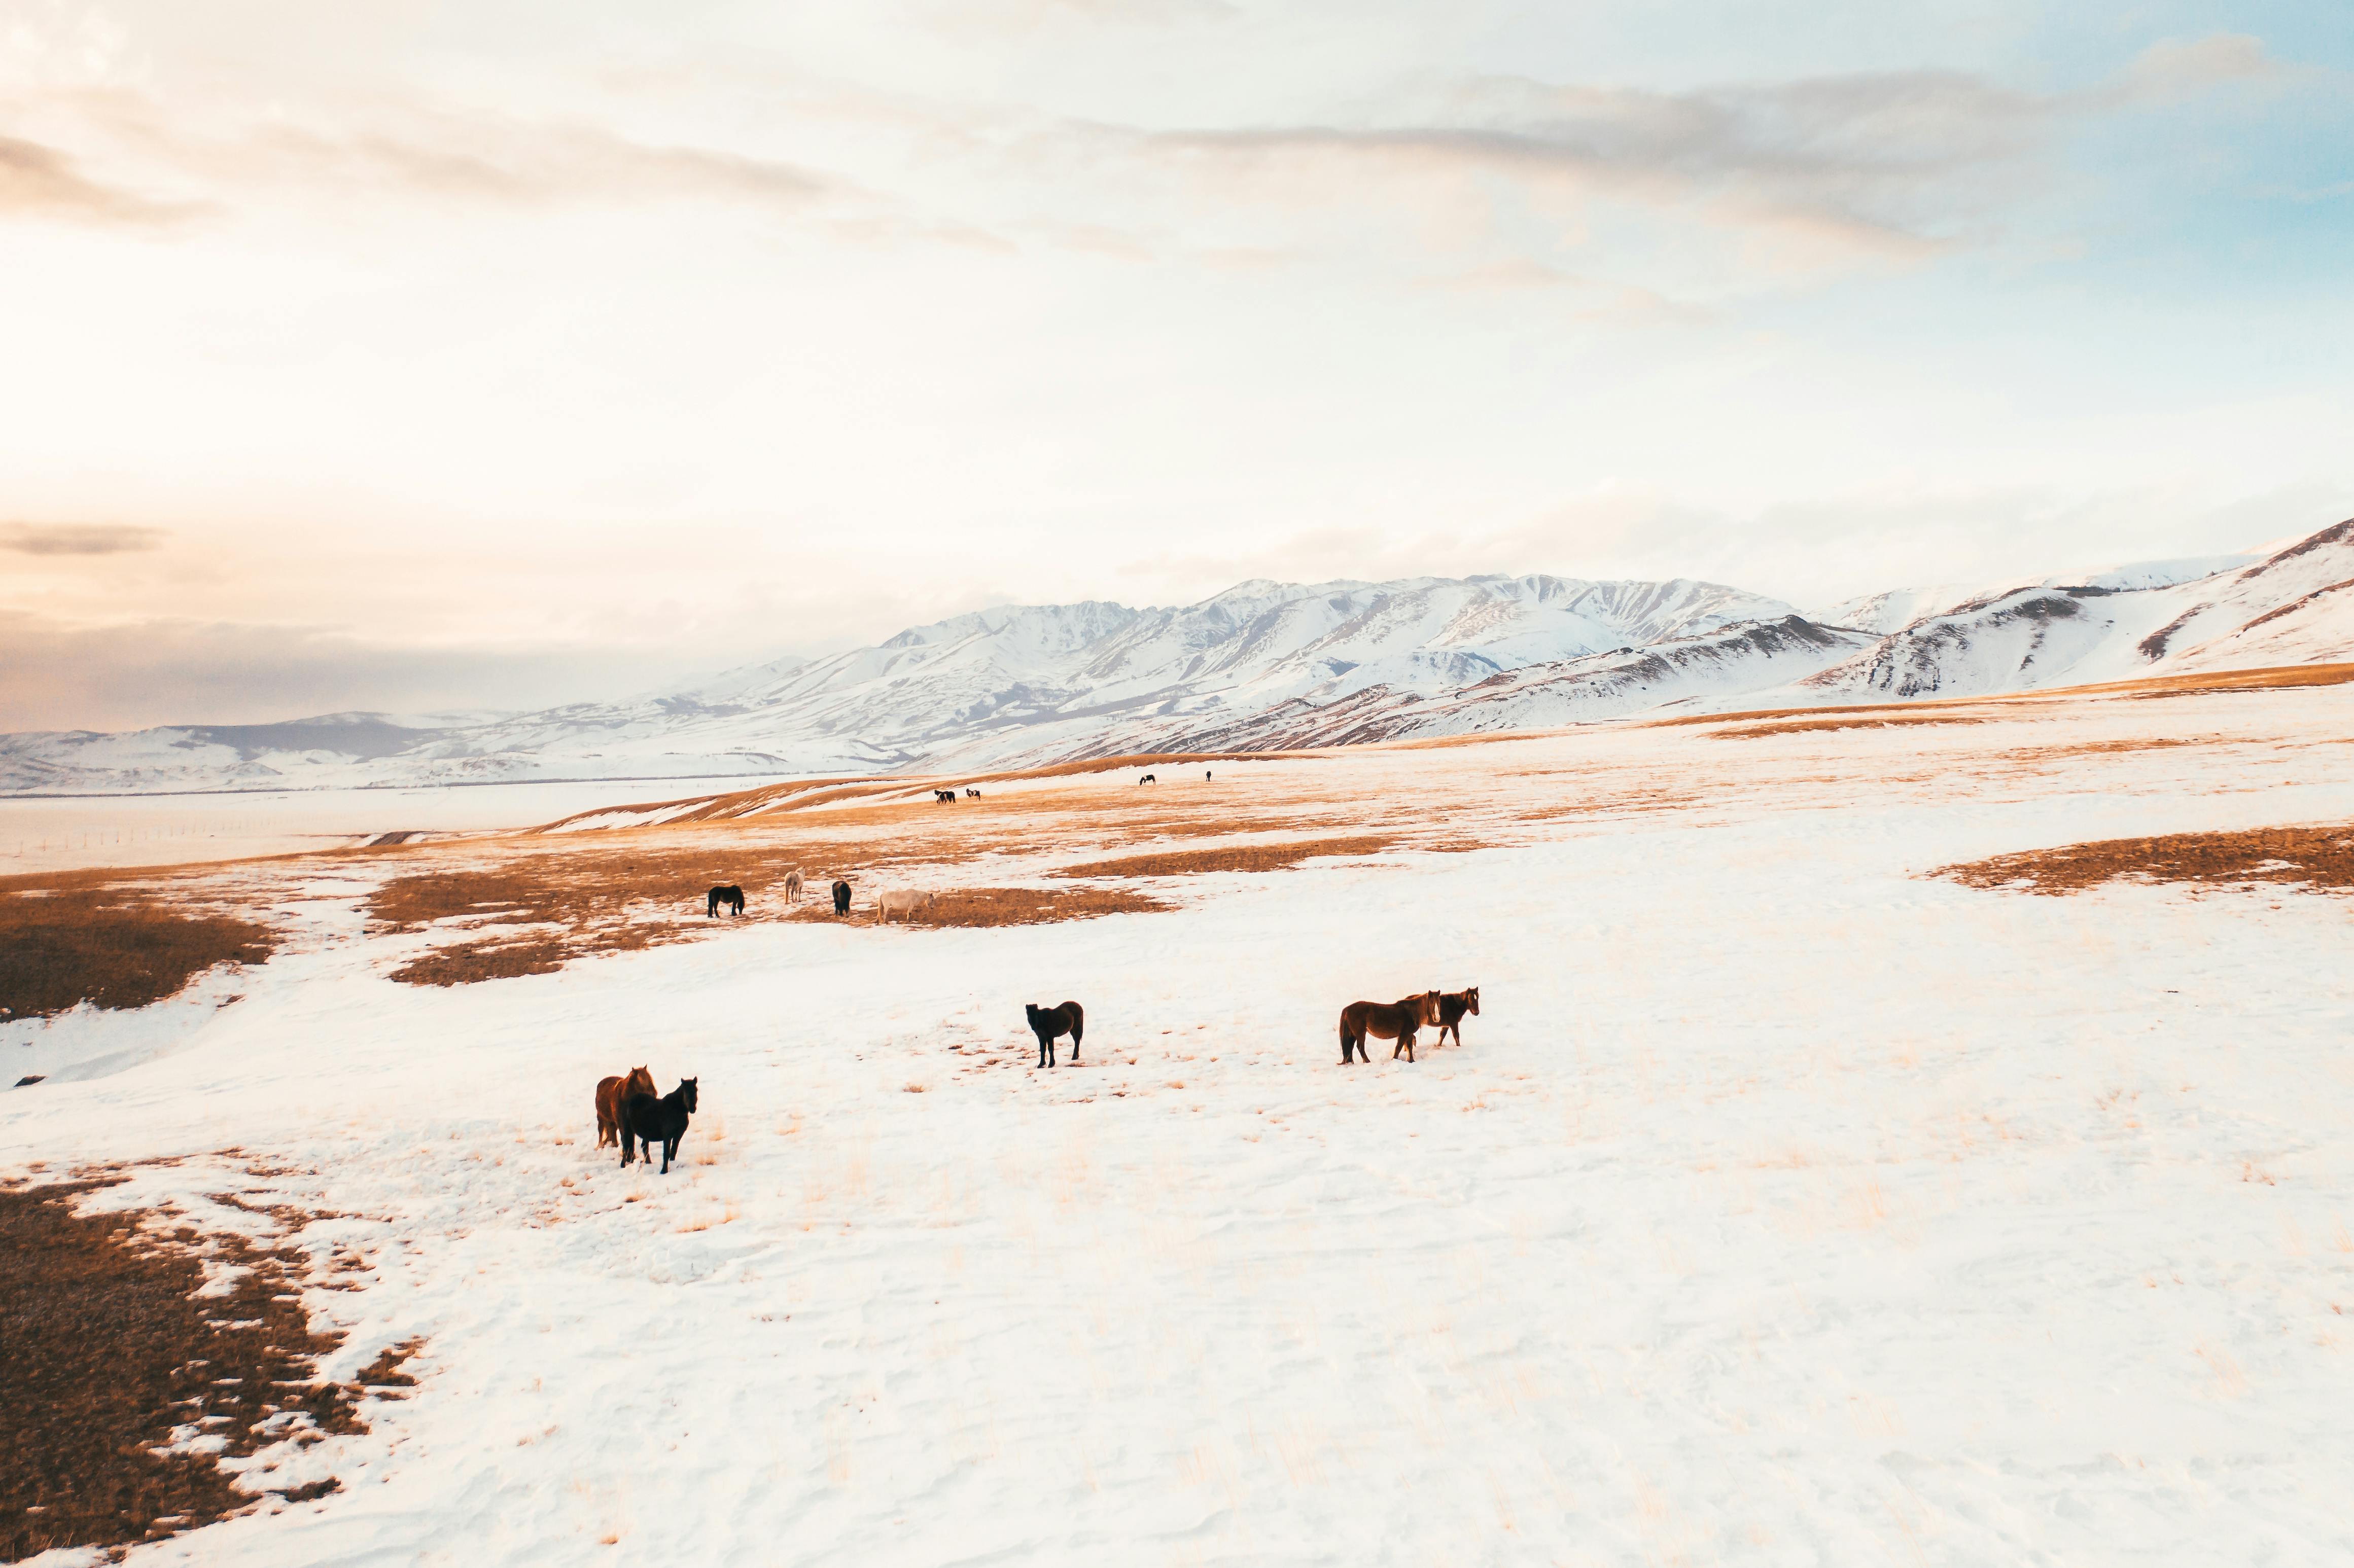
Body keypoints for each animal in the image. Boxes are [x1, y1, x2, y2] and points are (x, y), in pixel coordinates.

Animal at [593, 1064, 659, 1149]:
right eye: (642, 1080)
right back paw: (600, 1146)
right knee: (602, 1131)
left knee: (612, 1131)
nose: (655, 1093)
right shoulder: (622, 1123)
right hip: (601, 1117)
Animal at [616, 1074, 696, 1172]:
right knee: (626, 1147)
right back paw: (623, 1165)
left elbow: (674, 1151)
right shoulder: (667, 1136)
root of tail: (630, 1101)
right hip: (628, 1130)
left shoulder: (679, 1134)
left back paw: (649, 1162)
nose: (693, 1109)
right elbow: (666, 1153)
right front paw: (664, 1171)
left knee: (644, 1147)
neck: (676, 1110)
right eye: (686, 1092)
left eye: (696, 1090)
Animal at [1337, 988, 1440, 1064]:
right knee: (1360, 1047)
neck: (1412, 1012)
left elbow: (1410, 1048)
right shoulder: (1404, 1034)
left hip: (1353, 1034)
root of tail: (1347, 1009)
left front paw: (1411, 1061)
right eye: (1431, 1002)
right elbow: (1398, 1048)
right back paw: (1368, 1062)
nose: (1437, 1018)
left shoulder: (1409, 1034)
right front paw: (1394, 1059)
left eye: (1439, 1002)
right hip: (1360, 1033)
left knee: (1351, 1047)